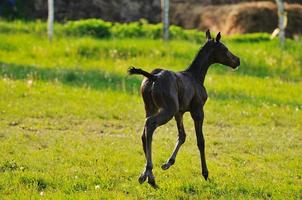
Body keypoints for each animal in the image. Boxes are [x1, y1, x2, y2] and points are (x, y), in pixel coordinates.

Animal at [128, 29, 241, 188]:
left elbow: (182, 136)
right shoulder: (197, 111)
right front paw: (205, 174)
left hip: (150, 107)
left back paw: (148, 175)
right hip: (167, 110)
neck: (196, 76)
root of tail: (153, 77)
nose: (237, 60)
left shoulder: (179, 112)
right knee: (150, 125)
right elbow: (200, 141)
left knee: (145, 132)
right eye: (224, 49)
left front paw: (168, 163)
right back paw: (149, 174)